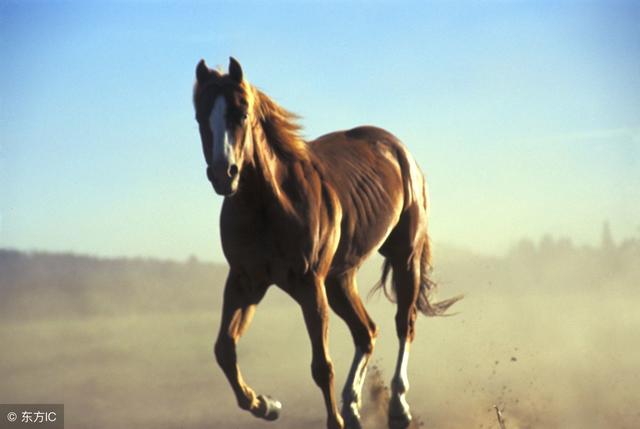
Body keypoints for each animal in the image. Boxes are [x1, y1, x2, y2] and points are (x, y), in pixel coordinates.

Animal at [193, 57, 461, 429]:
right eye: (201, 116)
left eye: (241, 113)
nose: (224, 174)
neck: (270, 205)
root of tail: (398, 150)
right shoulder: (246, 282)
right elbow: (224, 350)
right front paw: (267, 405)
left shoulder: (309, 285)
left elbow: (322, 366)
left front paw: (329, 418)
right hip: (339, 279)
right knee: (367, 332)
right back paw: (352, 407)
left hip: (402, 258)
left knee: (403, 324)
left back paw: (397, 408)